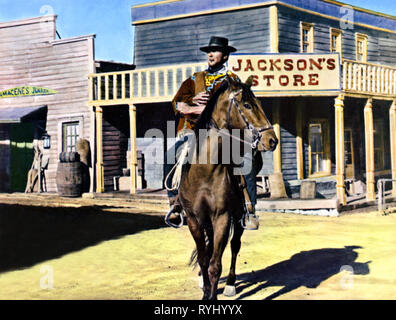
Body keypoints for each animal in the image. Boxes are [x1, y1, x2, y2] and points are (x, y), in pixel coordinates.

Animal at [178, 75, 276, 300]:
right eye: (247, 105)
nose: (272, 140)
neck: (204, 172)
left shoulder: (222, 217)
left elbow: (216, 265)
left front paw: (213, 295)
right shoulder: (194, 219)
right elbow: (204, 259)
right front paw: (206, 291)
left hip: (238, 216)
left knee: (234, 246)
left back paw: (231, 285)